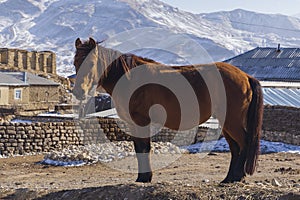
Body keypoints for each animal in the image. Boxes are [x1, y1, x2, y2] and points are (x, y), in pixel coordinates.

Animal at [72, 37, 262, 183]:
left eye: (91, 63)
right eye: (75, 63)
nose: (78, 91)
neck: (130, 78)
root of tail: (245, 76)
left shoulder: (141, 121)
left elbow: (144, 148)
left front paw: (145, 177)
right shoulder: (133, 123)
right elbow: (138, 148)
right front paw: (142, 177)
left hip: (231, 121)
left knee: (244, 143)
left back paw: (237, 177)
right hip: (226, 122)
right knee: (235, 148)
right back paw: (229, 178)